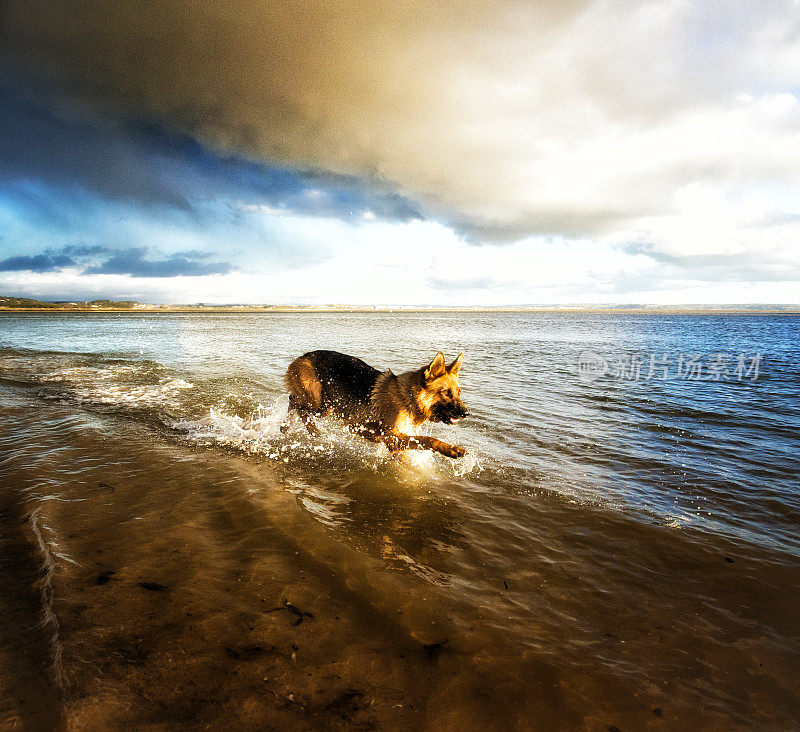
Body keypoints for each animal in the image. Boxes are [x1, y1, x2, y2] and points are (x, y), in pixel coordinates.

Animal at [282, 350, 468, 458]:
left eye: (458, 393)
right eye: (446, 393)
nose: (466, 413)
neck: (406, 398)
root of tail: (304, 356)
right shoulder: (393, 438)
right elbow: (428, 439)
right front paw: (452, 449)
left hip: (330, 406)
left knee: (294, 400)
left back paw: (288, 426)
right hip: (318, 403)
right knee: (297, 405)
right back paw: (306, 428)